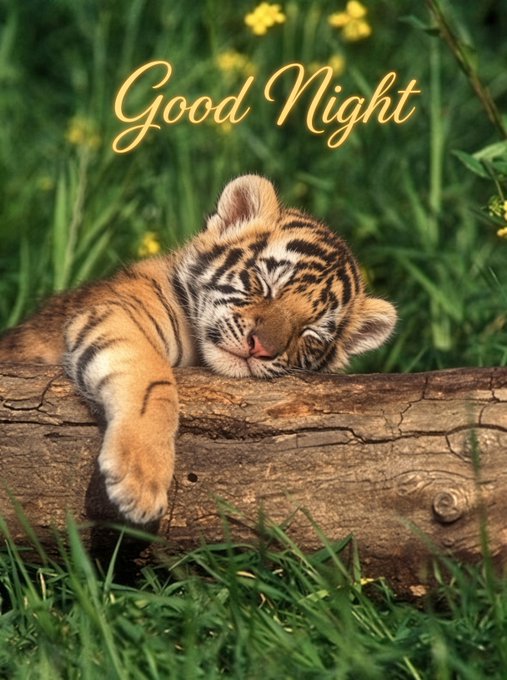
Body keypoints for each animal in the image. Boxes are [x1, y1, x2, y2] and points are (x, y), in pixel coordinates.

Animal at [0, 175, 397, 524]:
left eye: (310, 332)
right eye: (264, 284)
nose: (260, 348)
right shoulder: (117, 315)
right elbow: (154, 386)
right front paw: (140, 481)